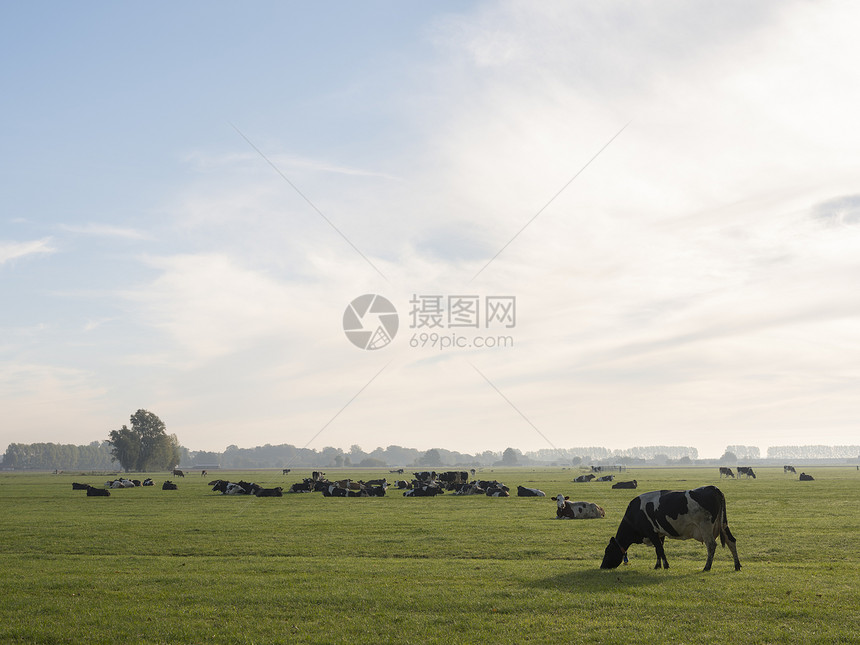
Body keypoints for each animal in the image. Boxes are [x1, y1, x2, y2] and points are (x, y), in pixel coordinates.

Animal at [596, 486, 740, 572]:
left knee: (711, 545)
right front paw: (657, 566)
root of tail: (712, 488)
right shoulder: (660, 533)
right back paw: (737, 566)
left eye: (607, 551)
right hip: (723, 524)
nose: (602, 566)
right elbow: (658, 550)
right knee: (731, 541)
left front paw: (665, 566)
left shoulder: (651, 532)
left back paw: (707, 567)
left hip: (706, 527)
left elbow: (660, 549)